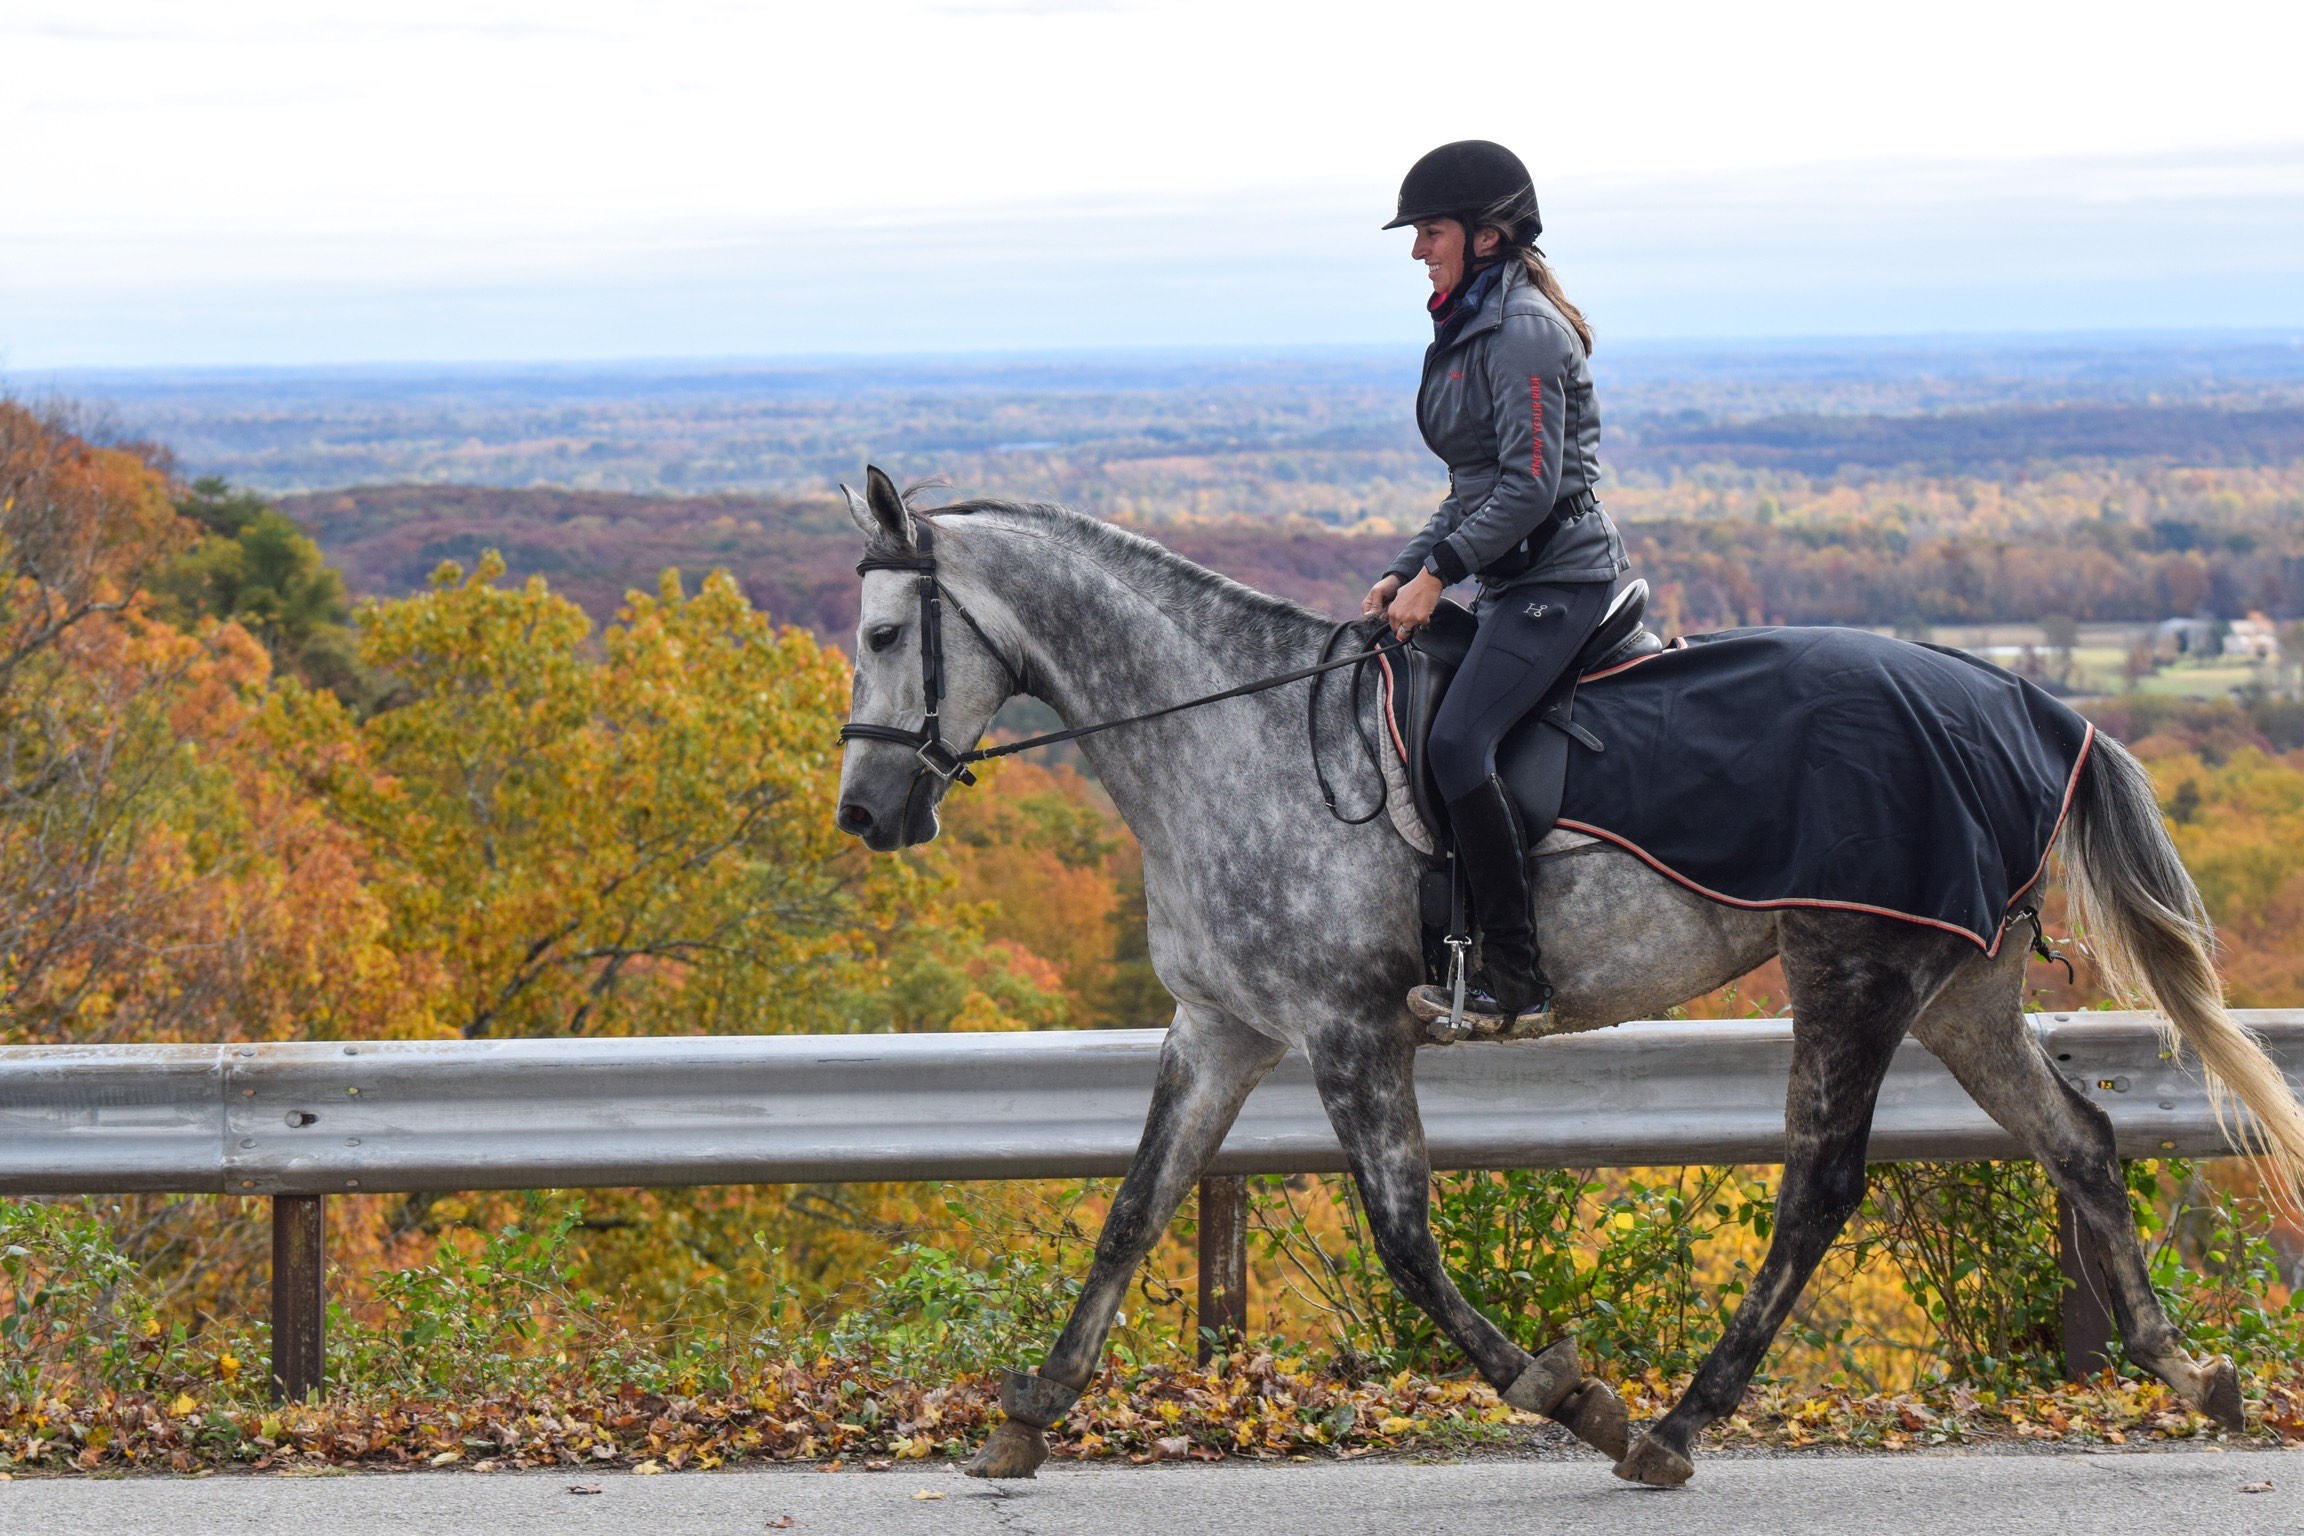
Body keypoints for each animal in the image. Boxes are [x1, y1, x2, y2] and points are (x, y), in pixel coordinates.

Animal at [829, 469, 2304, 1492]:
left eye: (889, 633)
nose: (863, 812)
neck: (1231, 741)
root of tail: (2030, 705)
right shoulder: (1222, 1028)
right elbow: (1134, 1209)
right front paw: (1026, 1419)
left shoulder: (1349, 1030)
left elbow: (1407, 1242)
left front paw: (1569, 1397)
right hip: (1964, 990)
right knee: (2084, 1140)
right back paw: (2191, 1374)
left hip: (1855, 967)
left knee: (1822, 1184)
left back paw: (1677, 1423)